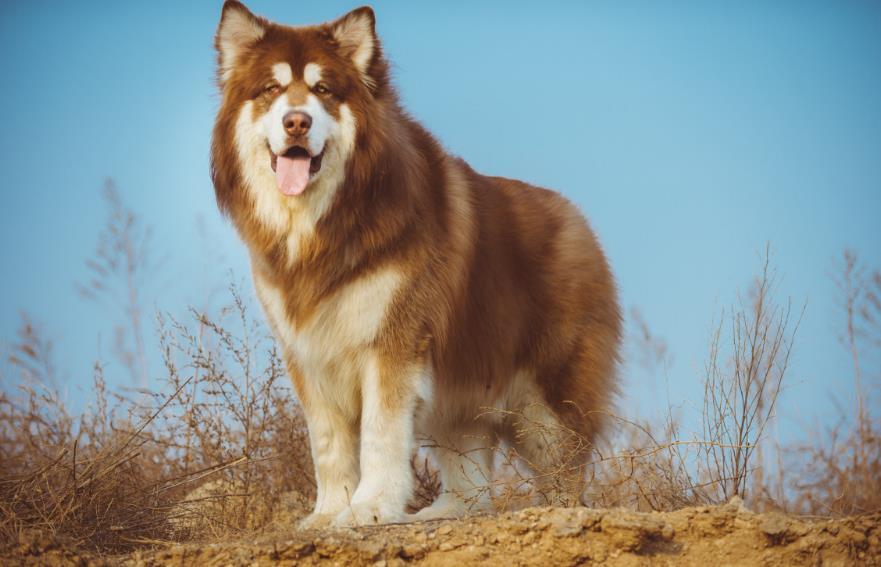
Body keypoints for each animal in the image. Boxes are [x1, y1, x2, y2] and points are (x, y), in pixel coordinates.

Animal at [210, 2, 624, 532]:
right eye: (271, 90)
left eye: (324, 91)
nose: (297, 122)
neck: (325, 225)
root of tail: (578, 221)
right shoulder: (308, 353)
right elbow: (328, 443)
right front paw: (328, 512)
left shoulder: (394, 343)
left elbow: (381, 434)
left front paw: (370, 508)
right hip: (463, 380)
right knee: (469, 468)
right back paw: (445, 510)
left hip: (547, 397)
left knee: (563, 461)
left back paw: (556, 508)